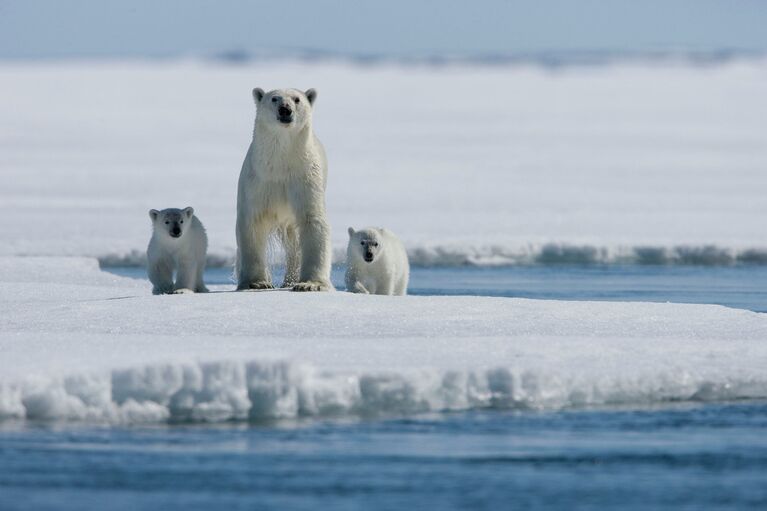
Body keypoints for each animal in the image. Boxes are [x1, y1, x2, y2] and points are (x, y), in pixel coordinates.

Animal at [234, 88, 330, 292]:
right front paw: (257, 282)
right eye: (274, 98)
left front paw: (309, 284)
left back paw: (291, 280)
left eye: (297, 99)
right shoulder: (258, 180)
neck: (281, 163)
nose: (285, 109)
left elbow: (312, 221)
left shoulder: (304, 178)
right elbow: (252, 223)